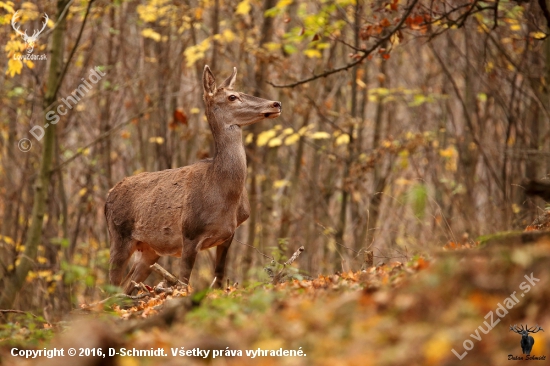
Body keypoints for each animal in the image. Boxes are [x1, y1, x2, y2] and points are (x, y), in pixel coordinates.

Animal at [105, 66, 282, 294]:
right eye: (232, 97)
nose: (276, 104)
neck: (222, 192)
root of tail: (108, 196)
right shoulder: (190, 233)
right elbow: (183, 282)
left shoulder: (228, 235)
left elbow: (219, 277)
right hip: (119, 235)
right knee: (110, 287)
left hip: (150, 250)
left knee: (126, 287)